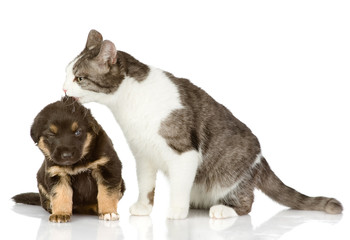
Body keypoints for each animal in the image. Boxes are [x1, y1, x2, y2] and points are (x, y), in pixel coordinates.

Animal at [62, 29, 342, 219]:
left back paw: (223, 210)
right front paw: (144, 207)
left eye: (79, 78)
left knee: (246, 203)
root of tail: (260, 160)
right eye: (66, 74)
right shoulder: (143, 154)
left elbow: (178, 185)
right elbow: (146, 184)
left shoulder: (184, 152)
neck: (128, 102)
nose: (63, 88)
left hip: (230, 173)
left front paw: (176, 210)